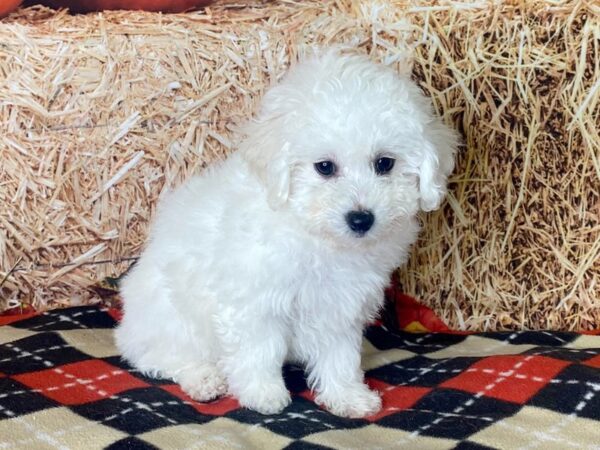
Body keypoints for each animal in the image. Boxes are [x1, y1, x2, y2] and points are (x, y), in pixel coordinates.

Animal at [115, 51, 458, 420]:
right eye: (325, 167)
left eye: (384, 163)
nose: (361, 218)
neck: (314, 233)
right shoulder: (255, 300)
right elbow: (259, 350)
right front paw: (263, 394)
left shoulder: (340, 306)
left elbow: (340, 356)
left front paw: (347, 396)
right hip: (170, 317)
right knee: (159, 356)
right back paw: (204, 379)